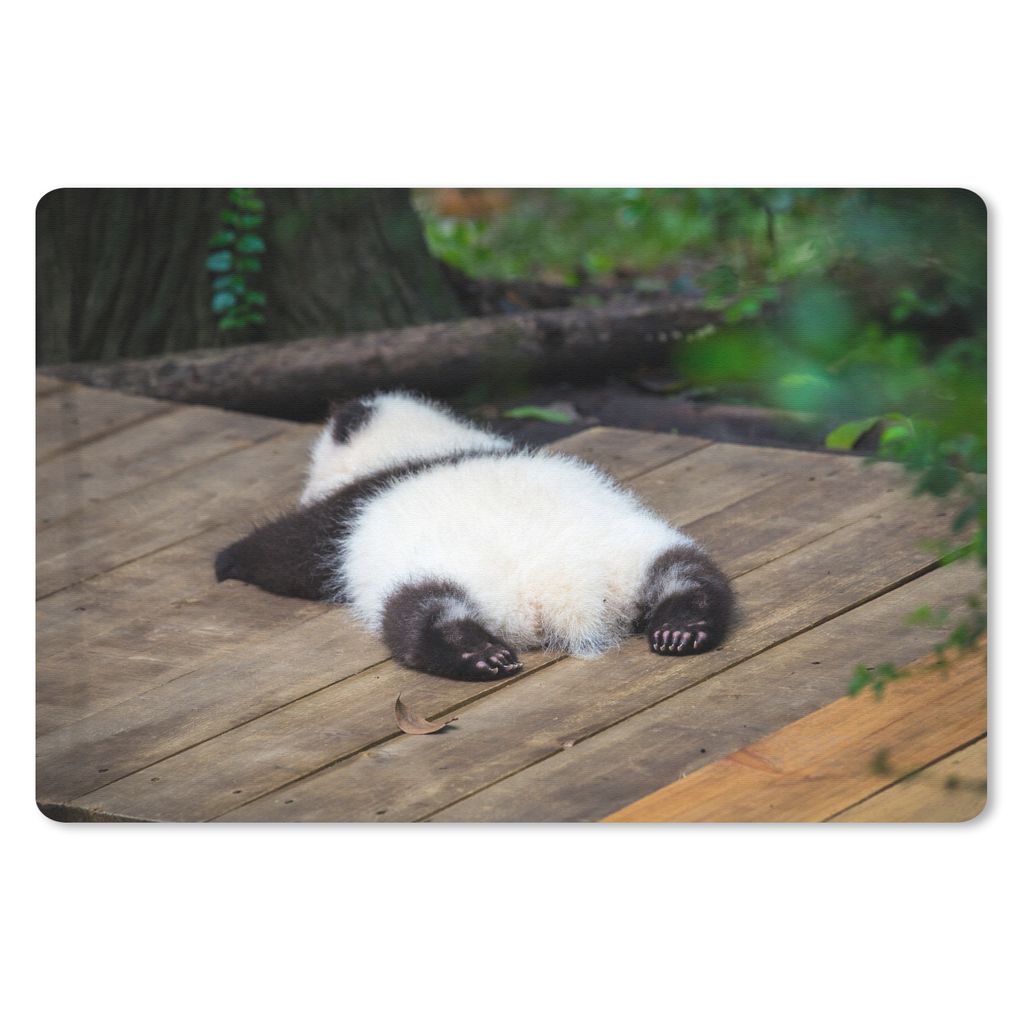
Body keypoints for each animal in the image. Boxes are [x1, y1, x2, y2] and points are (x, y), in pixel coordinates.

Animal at [215, 391, 734, 681]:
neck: (423, 445)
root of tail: (566, 593)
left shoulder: (347, 511)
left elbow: (289, 553)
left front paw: (228, 560)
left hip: (434, 576)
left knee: (419, 613)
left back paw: (476, 654)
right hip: (637, 549)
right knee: (690, 574)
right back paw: (682, 627)